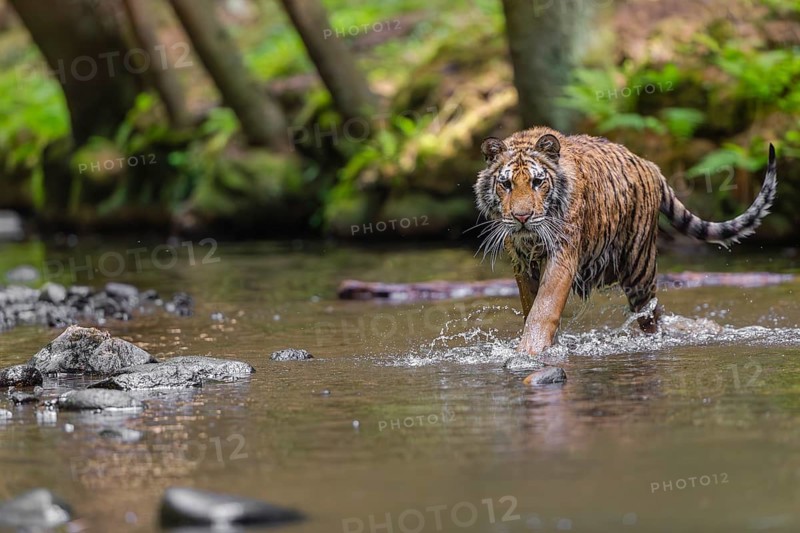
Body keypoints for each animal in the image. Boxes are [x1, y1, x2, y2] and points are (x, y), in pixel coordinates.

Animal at [473, 126, 777, 365]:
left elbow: (543, 309)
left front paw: (529, 352)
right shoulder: (522, 264)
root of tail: (650, 165)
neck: (531, 239)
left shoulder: (562, 254)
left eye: (538, 182)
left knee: (652, 315)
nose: (521, 217)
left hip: (639, 269)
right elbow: (531, 307)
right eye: (506, 184)